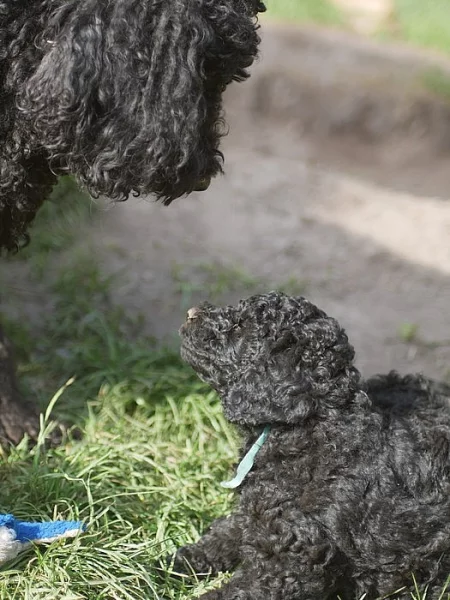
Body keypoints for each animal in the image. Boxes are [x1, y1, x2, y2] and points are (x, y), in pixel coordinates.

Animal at [175, 292, 450, 600]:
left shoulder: (287, 564)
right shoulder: (261, 508)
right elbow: (232, 527)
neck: (309, 426)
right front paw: (185, 560)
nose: (190, 313)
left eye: (240, 328)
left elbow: (238, 590)